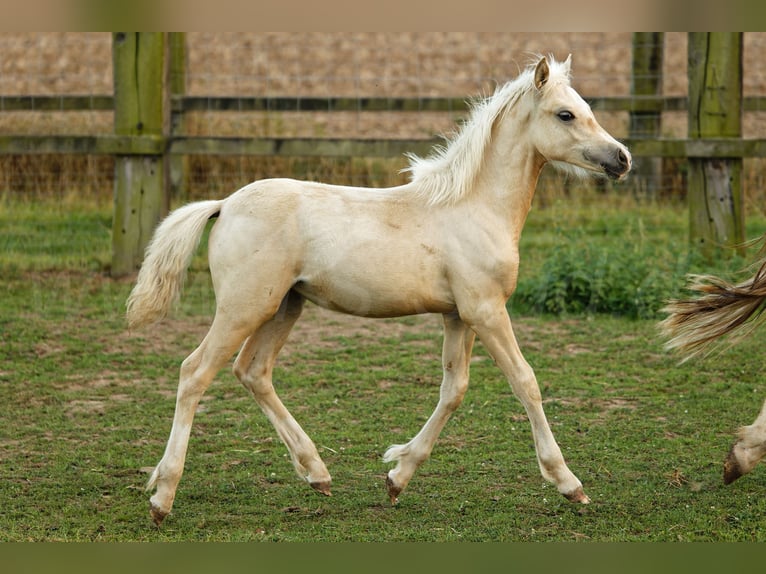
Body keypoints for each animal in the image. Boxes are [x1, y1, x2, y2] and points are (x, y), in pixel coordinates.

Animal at [127, 55, 632, 528]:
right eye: (565, 114)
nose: (622, 158)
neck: (474, 207)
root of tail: (224, 204)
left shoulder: (458, 315)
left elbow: (454, 389)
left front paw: (397, 476)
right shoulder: (486, 311)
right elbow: (526, 382)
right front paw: (568, 483)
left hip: (284, 306)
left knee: (253, 371)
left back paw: (317, 473)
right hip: (243, 307)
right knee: (195, 373)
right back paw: (162, 498)